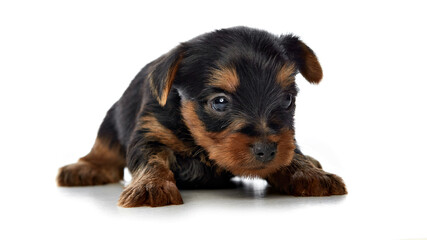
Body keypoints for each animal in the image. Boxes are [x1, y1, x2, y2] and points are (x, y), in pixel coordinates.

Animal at [57, 25, 348, 206]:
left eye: (288, 100)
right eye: (219, 103)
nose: (266, 149)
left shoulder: (285, 138)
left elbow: (292, 153)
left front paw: (310, 173)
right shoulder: (151, 131)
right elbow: (150, 159)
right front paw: (151, 187)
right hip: (111, 121)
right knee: (103, 147)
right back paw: (84, 169)